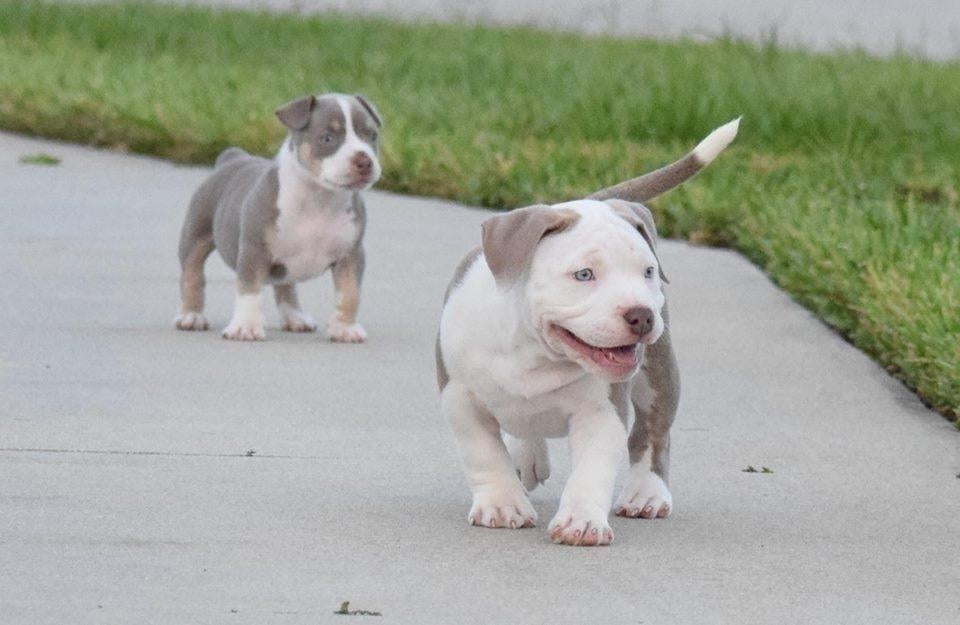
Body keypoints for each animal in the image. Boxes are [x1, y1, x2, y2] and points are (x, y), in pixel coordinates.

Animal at [172, 92, 382, 342]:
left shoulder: (351, 255)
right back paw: (191, 316)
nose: (365, 161)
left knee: (285, 285)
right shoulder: (254, 251)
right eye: (327, 138)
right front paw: (246, 326)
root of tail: (233, 157)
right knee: (192, 275)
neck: (319, 198)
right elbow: (249, 290)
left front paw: (344, 328)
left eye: (372, 136)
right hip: (195, 235)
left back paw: (294, 317)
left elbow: (349, 293)